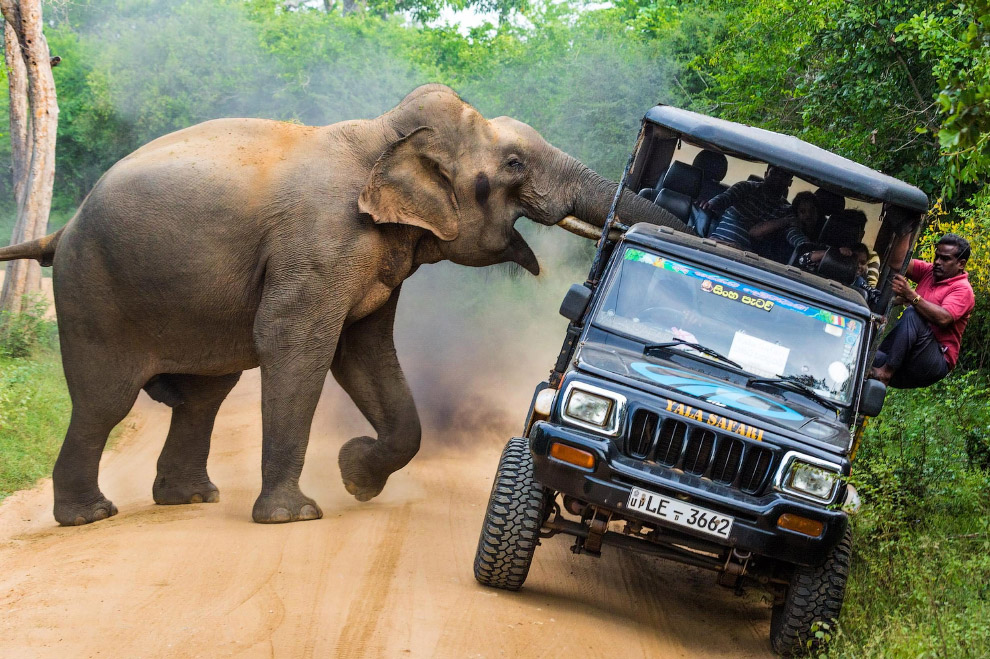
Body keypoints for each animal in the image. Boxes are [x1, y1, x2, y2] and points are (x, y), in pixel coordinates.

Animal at [0, 84, 684, 524]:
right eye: (514, 164)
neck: (384, 136)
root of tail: (62, 231)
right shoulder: (321, 242)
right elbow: (297, 343)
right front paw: (296, 516)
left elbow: (365, 353)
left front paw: (356, 476)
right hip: (93, 291)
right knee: (105, 402)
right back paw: (91, 515)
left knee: (203, 396)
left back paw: (191, 500)